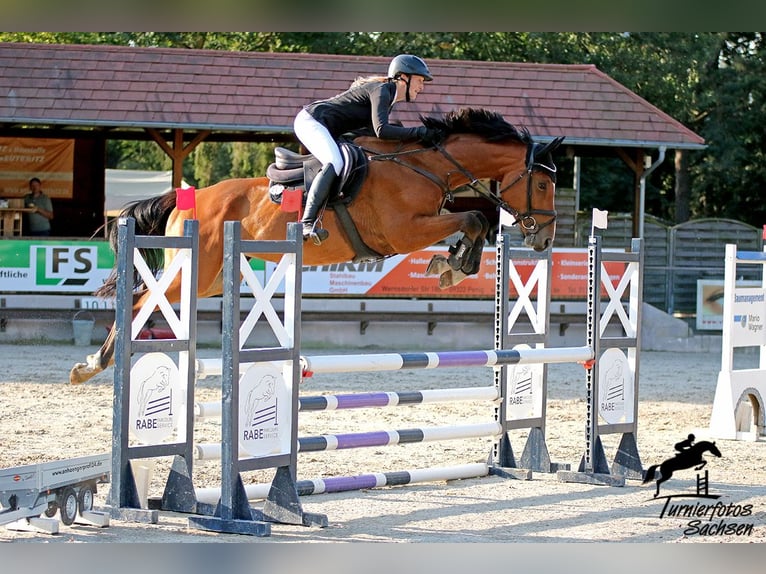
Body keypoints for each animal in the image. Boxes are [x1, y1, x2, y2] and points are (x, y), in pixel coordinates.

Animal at [70, 107, 563, 385]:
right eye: (542, 183)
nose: (543, 239)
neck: (424, 164)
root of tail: (188, 196)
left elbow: (474, 221)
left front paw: (453, 265)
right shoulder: (403, 231)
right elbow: (475, 218)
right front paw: (454, 265)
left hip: (207, 280)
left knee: (147, 302)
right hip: (194, 270)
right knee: (139, 302)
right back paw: (94, 363)